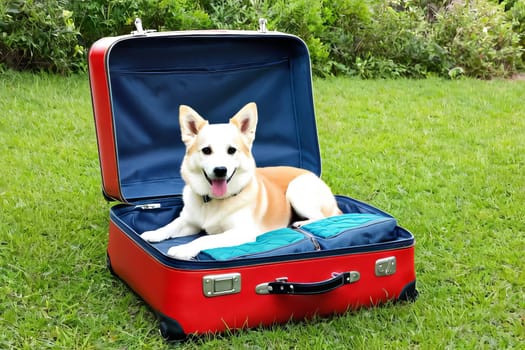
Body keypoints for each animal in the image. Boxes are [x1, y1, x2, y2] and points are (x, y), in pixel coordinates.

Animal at [141, 102, 342, 258]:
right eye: (206, 150)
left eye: (231, 150)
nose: (220, 170)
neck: (214, 202)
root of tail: (312, 175)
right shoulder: (188, 222)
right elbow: (171, 225)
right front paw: (154, 233)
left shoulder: (240, 232)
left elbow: (206, 238)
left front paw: (184, 249)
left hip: (297, 189)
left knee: (324, 217)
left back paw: (302, 222)